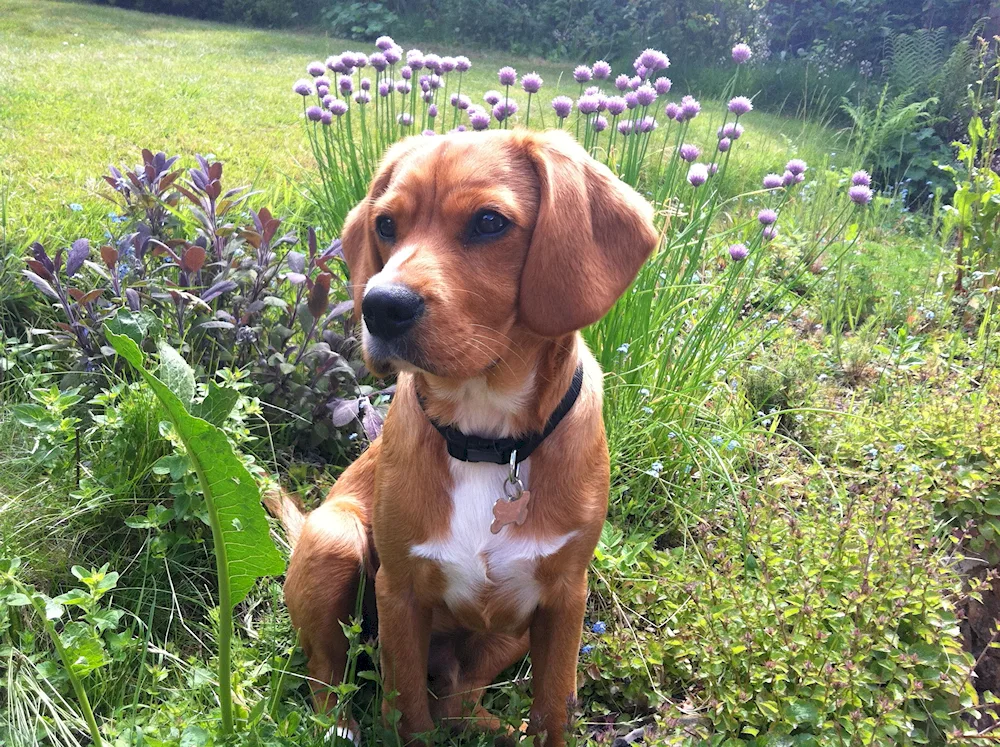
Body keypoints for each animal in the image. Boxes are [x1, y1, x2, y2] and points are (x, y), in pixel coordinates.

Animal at [266, 129, 660, 744]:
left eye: (489, 222)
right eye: (385, 225)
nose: (379, 306)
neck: (487, 439)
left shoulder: (565, 597)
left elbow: (552, 708)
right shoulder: (400, 593)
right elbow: (408, 712)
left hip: (510, 631)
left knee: (458, 695)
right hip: (335, 539)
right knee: (327, 671)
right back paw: (340, 727)